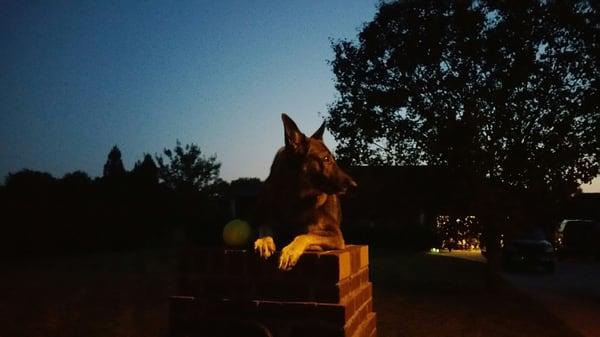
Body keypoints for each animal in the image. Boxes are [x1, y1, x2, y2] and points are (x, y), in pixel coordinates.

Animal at [253, 114, 356, 270]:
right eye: (326, 159)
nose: (354, 185)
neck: (295, 196)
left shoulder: (336, 235)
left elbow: (305, 235)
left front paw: (291, 250)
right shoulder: (269, 219)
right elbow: (264, 226)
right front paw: (264, 241)